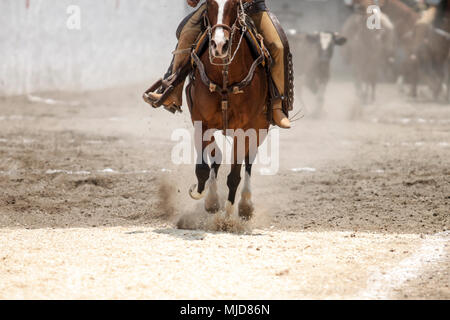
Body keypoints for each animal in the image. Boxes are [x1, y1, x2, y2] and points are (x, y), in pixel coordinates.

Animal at [186, 0, 270, 220]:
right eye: (209, 4)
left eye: (233, 4)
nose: (219, 45)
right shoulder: (201, 121)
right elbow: (204, 167)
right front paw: (204, 196)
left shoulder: (245, 130)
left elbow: (234, 175)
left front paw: (228, 214)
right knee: (217, 159)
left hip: (260, 129)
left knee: (248, 162)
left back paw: (245, 205)